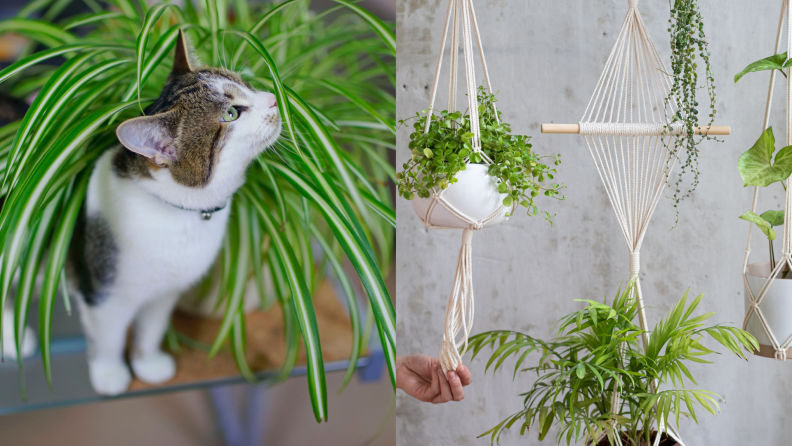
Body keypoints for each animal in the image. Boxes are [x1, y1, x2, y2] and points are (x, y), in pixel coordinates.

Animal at [0, 29, 282, 396]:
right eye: (232, 113)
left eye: (244, 83)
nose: (274, 98)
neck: (178, 213)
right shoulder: (104, 294)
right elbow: (109, 338)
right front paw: (110, 374)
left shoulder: (165, 293)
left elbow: (152, 329)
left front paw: (148, 364)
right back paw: (10, 337)